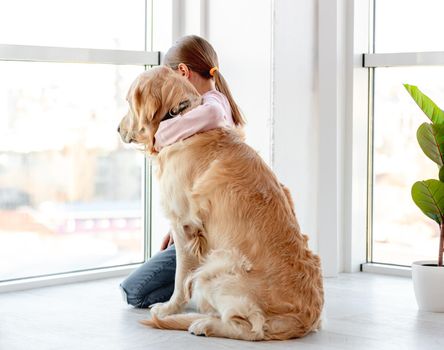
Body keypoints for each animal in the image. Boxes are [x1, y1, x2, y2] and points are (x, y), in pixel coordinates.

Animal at [119, 66, 322, 342]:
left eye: (128, 102)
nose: (117, 129)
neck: (178, 119)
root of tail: (305, 319)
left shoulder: (183, 225)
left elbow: (180, 276)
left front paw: (169, 308)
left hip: (217, 268)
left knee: (251, 328)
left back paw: (203, 324)